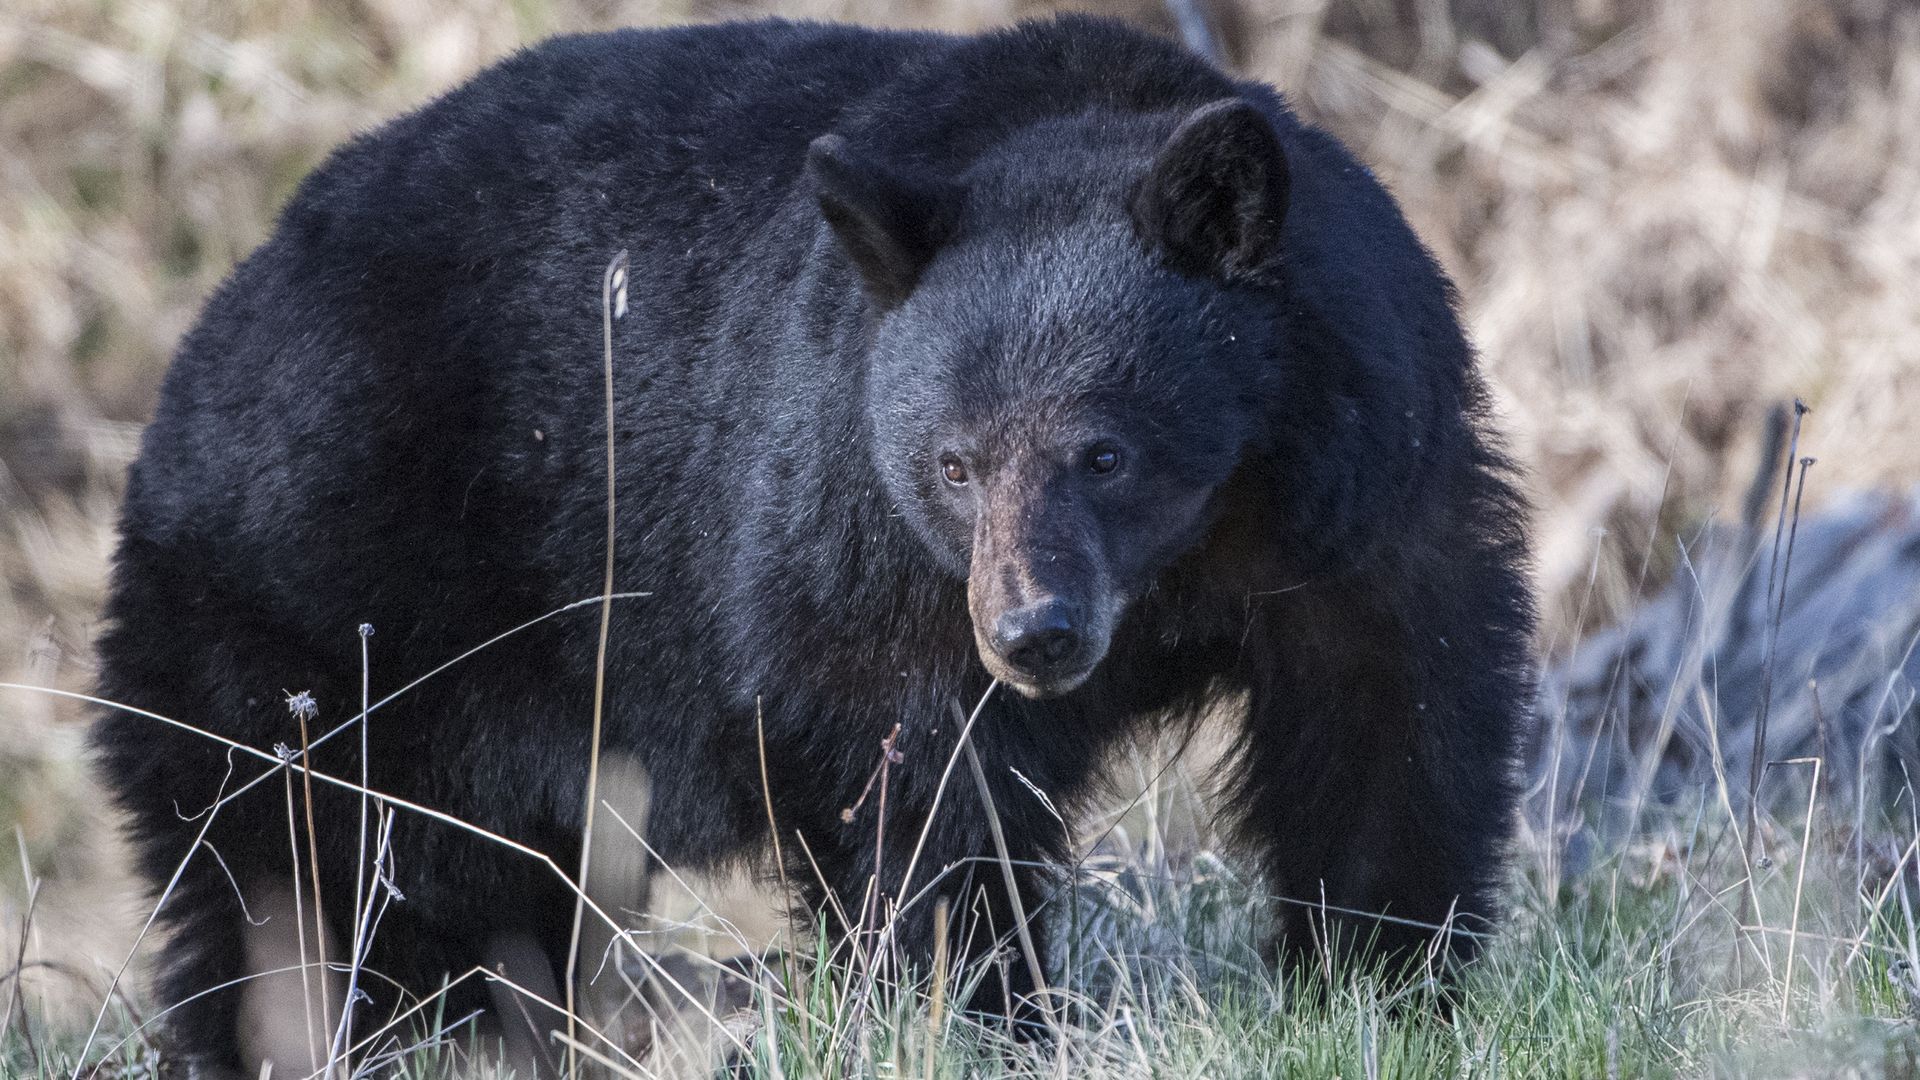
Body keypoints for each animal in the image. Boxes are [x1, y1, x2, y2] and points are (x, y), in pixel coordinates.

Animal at [92, 13, 1535, 1076]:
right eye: (953, 462)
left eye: (1103, 452)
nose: (1036, 636)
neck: (1199, 550)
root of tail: (208, 339)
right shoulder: (860, 534)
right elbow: (924, 784)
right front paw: (973, 1010)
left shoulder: (1369, 497)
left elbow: (1389, 728)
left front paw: (1385, 984)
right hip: (320, 624)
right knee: (301, 877)